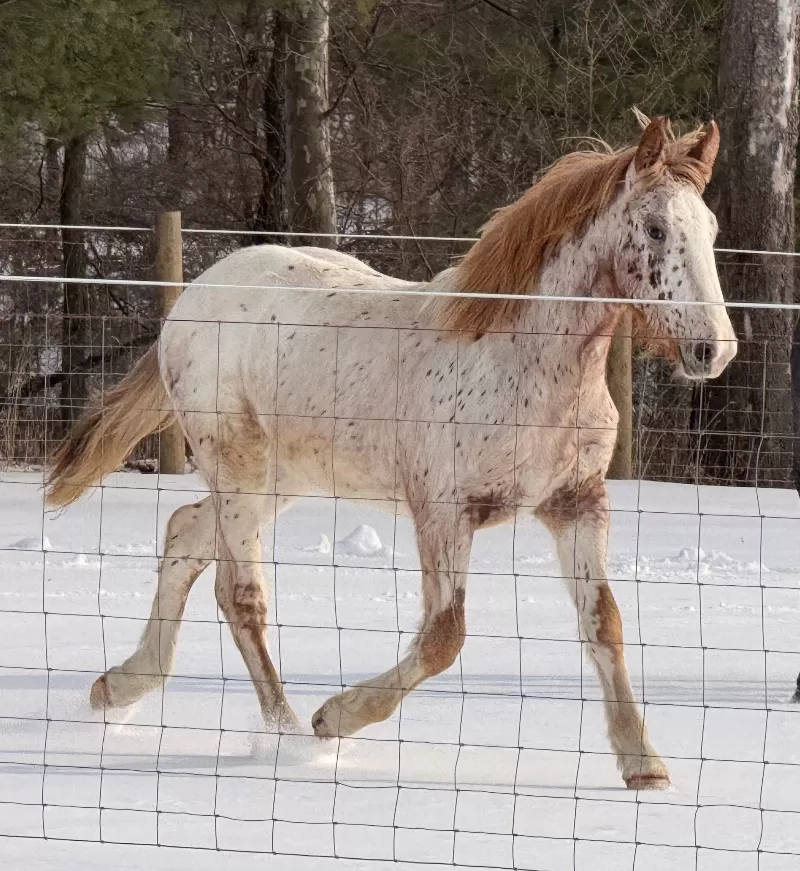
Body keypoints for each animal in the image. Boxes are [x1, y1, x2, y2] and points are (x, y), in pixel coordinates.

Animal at [47, 114, 736, 792]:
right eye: (655, 229)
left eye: (710, 230)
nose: (714, 351)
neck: (523, 362)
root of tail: (191, 300)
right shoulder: (444, 512)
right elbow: (442, 638)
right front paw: (336, 717)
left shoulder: (577, 505)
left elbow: (605, 624)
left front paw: (643, 763)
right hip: (238, 471)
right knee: (239, 595)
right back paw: (289, 734)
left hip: (279, 480)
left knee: (183, 534)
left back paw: (119, 687)